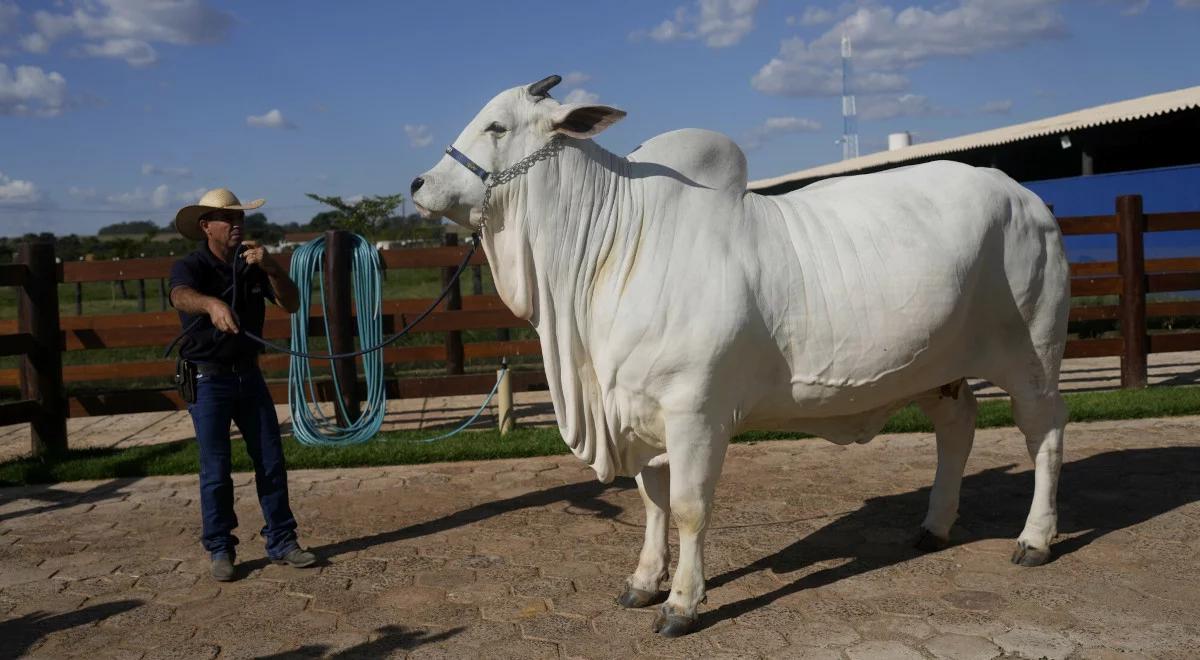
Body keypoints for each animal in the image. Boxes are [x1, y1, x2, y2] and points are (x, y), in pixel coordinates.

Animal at [412, 75, 1070, 638]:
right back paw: (935, 525)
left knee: (1044, 435)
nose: (418, 184)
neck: (614, 246)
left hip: (1031, 358)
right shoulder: (642, 411)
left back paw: (1035, 539)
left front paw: (682, 603)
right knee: (957, 428)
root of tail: (1028, 198)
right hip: (942, 369)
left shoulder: (695, 412)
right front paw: (644, 582)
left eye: (497, 126)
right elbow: (652, 502)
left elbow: (689, 507)